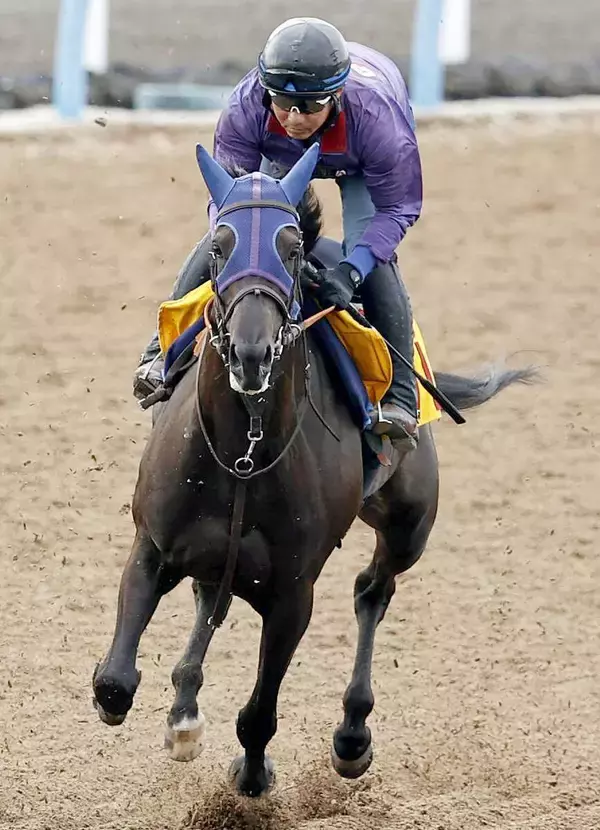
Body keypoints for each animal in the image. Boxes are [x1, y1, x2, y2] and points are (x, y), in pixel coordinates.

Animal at [92, 143, 535, 798]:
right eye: (218, 246)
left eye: (292, 249)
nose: (251, 352)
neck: (244, 453)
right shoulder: (153, 546)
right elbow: (115, 682)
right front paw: (179, 720)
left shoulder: (292, 593)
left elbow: (258, 714)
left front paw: (252, 778)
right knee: (211, 597)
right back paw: (185, 705)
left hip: (409, 522)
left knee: (373, 590)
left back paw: (352, 735)